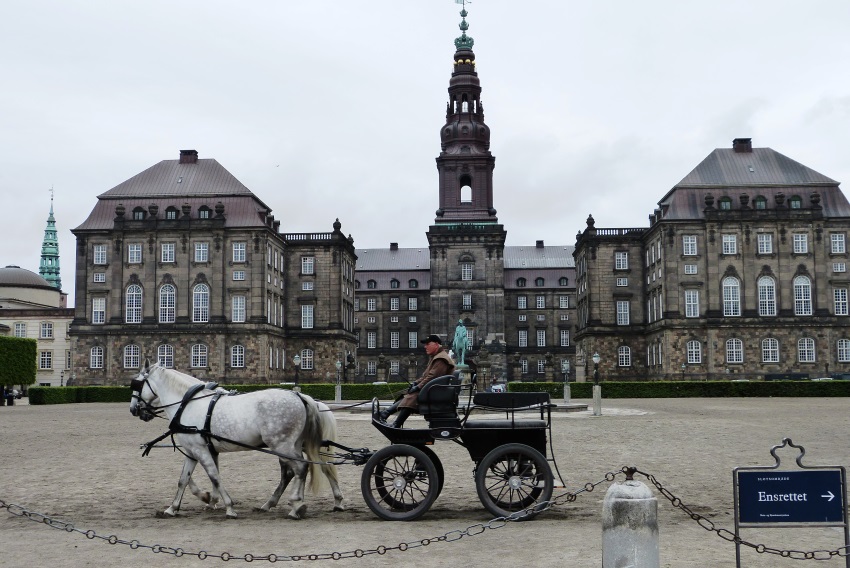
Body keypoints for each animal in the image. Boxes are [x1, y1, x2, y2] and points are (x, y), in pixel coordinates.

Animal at [129, 364, 342, 520]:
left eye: (136, 384)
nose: (133, 409)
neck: (188, 404)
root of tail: (299, 395)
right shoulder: (193, 451)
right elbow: (183, 480)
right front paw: (173, 508)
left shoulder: (201, 450)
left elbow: (215, 477)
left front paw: (228, 506)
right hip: (293, 446)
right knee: (307, 469)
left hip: (282, 446)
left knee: (301, 469)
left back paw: (296, 504)